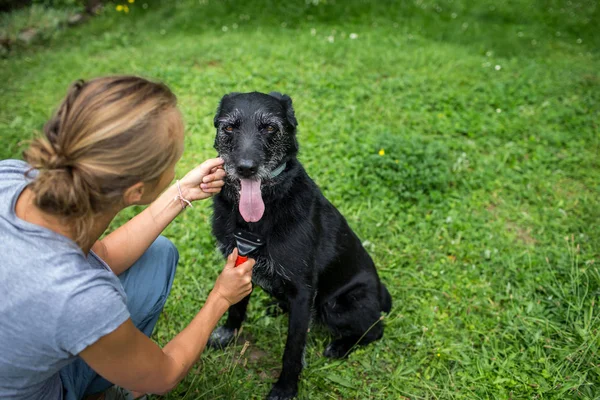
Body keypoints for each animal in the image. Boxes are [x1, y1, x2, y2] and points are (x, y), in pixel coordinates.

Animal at [209, 92, 392, 398]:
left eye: (270, 128)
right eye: (230, 127)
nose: (246, 168)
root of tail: (380, 292)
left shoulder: (304, 292)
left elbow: (293, 349)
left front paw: (285, 387)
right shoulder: (239, 265)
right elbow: (235, 307)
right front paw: (227, 334)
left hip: (337, 305)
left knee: (375, 329)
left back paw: (341, 346)